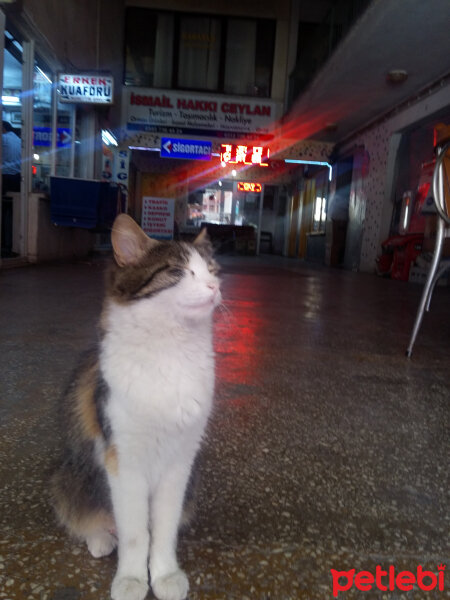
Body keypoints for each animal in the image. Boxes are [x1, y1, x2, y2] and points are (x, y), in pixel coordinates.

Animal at [50, 214, 221, 600]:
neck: (171, 351)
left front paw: (164, 574)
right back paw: (101, 538)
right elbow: (134, 534)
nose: (214, 286)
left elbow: (162, 530)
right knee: (96, 522)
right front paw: (130, 579)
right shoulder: (124, 463)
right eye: (178, 271)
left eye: (212, 269)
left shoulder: (180, 463)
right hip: (67, 478)